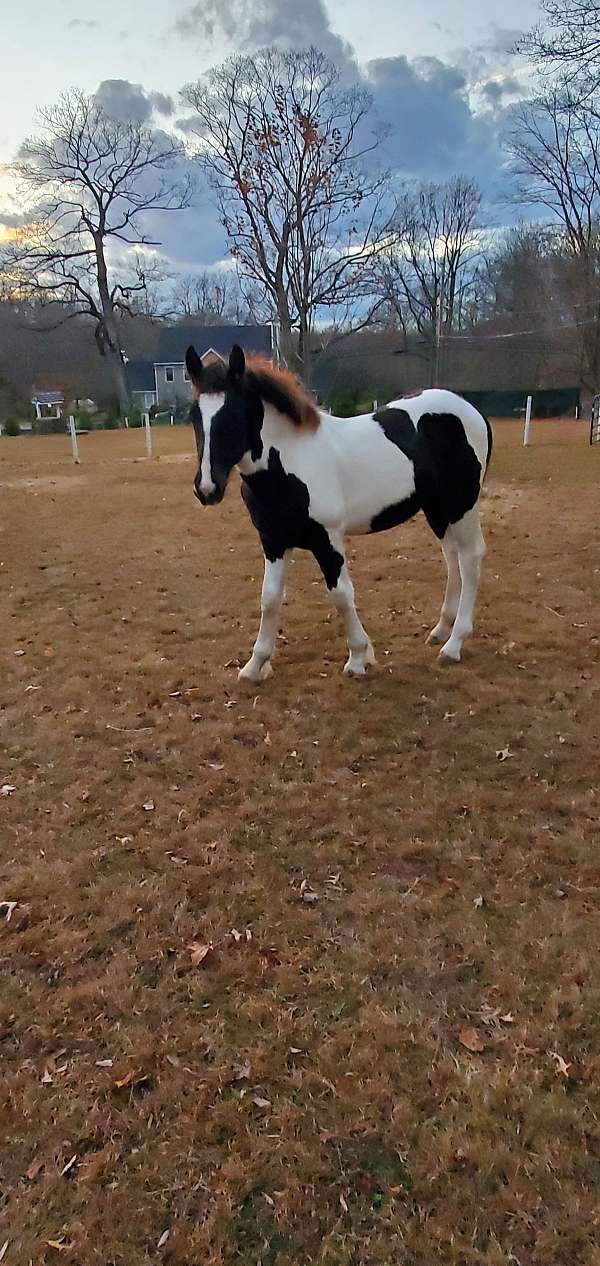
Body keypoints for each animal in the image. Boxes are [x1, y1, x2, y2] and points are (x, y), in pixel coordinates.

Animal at [187, 344, 491, 683]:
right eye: (194, 415)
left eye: (233, 415)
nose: (207, 488)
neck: (291, 460)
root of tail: (469, 409)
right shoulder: (273, 540)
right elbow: (269, 598)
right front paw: (255, 665)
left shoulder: (327, 539)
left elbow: (342, 595)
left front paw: (358, 657)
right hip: (437, 509)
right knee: (452, 557)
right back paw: (441, 630)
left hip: (462, 506)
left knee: (470, 559)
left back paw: (454, 644)